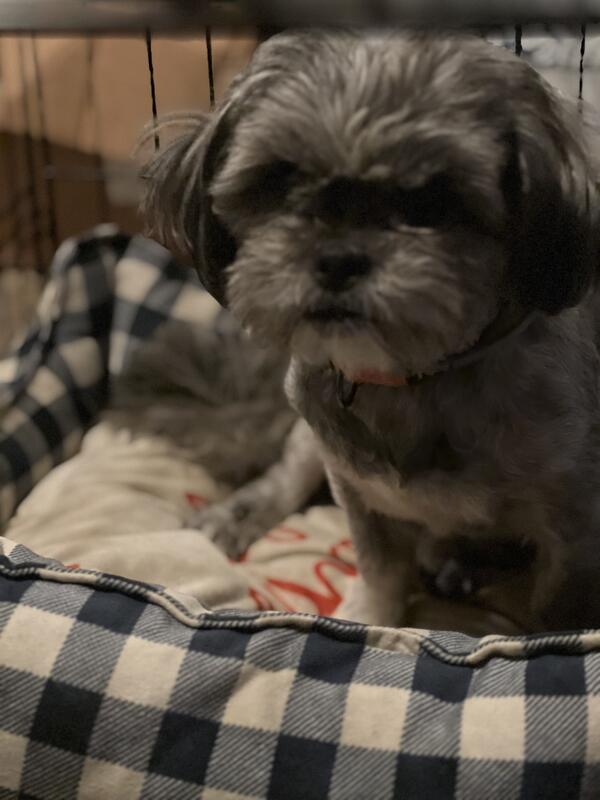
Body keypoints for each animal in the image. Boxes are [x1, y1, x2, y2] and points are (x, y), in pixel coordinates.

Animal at [141, 29, 600, 630]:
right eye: (280, 178)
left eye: (435, 199)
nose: (338, 259)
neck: (416, 379)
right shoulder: (356, 491)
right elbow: (379, 569)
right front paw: (367, 618)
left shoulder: (574, 535)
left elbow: (556, 617)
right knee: (286, 476)